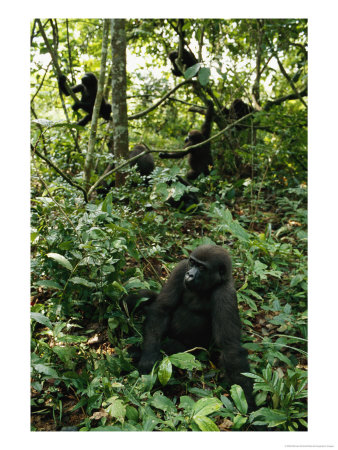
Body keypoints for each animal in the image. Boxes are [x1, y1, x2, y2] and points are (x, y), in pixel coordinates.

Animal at [126, 244, 254, 410]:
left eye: (202, 267)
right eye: (192, 263)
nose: (190, 274)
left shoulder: (226, 294)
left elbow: (230, 346)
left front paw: (248, 401)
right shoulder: (181, 268)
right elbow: (162, 309)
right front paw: (148, 356)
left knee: (173, 346)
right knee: (144, 297)